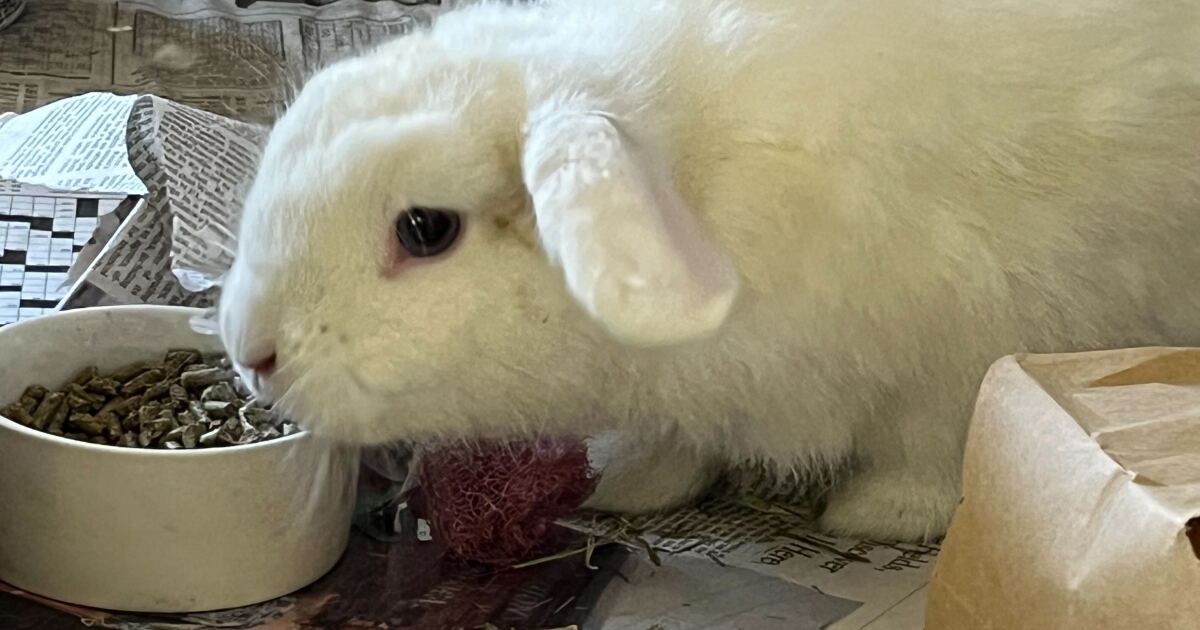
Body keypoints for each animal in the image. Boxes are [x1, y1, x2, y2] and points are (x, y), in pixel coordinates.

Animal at [217, 0, 1200, 541]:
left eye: (426, 230)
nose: (252, 353)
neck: (697, 171)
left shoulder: (964, 347)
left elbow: (927, 449)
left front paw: (879, 514)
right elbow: (680, 439)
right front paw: (635, 486)